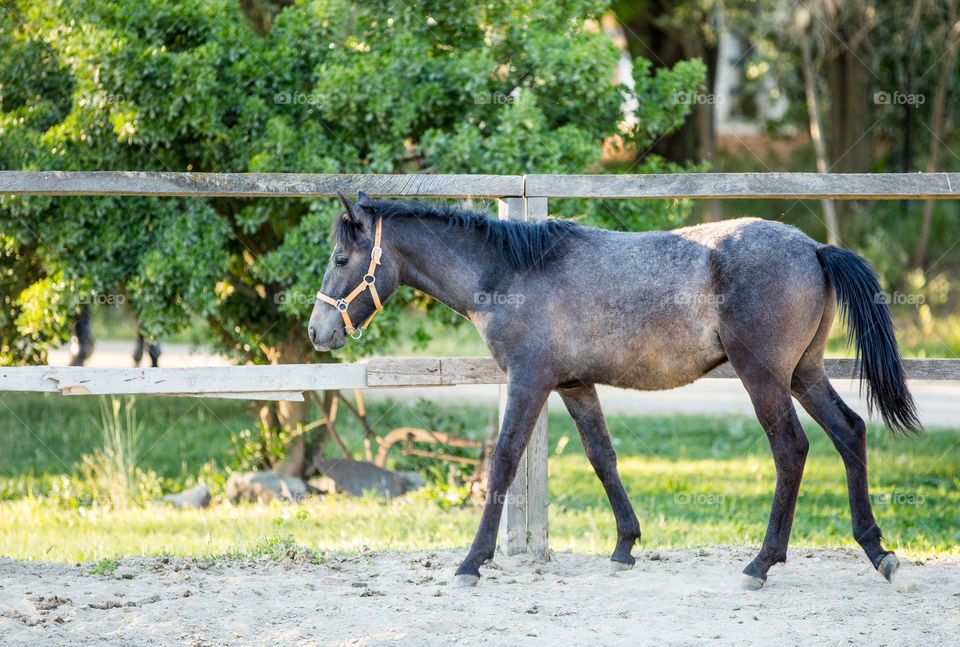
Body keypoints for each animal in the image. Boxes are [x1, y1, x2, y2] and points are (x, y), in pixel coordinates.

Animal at [310, 190, 924, 588]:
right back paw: (878, 551)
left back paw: (762, 563)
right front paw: (625, 545)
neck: (512, 274)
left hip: (765, 377)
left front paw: (471, 562)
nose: (318, 332)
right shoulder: (575, 385)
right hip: (804, 373)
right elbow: (602, 457)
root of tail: (814, 248)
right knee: (849, 432)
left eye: (341, 257)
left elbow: (504, 461)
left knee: (791, 450)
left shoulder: (528, 381)